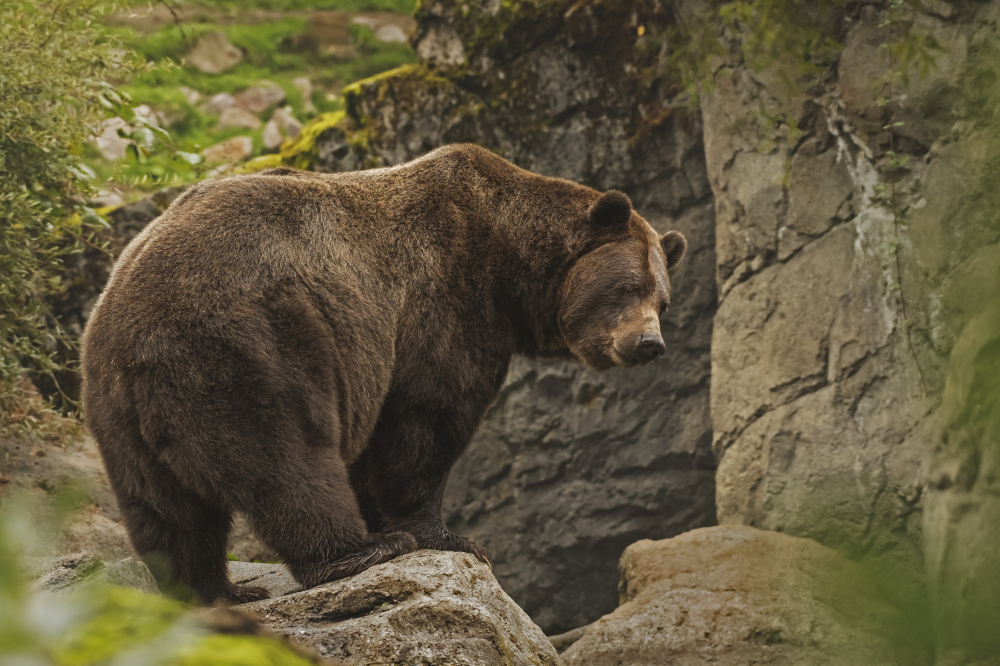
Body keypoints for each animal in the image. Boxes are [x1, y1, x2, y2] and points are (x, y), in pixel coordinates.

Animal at [81, 144, 688, 604]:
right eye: (628, 287)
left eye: (662, 298)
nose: (649, 344)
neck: (510, 265)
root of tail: (135, 334)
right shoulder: (443, 299)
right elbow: (426, 420)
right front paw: (447, 536)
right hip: (248, 342)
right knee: (285, 456)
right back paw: (355, 553)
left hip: (115, 403)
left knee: (165, 507)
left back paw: (214, 590)